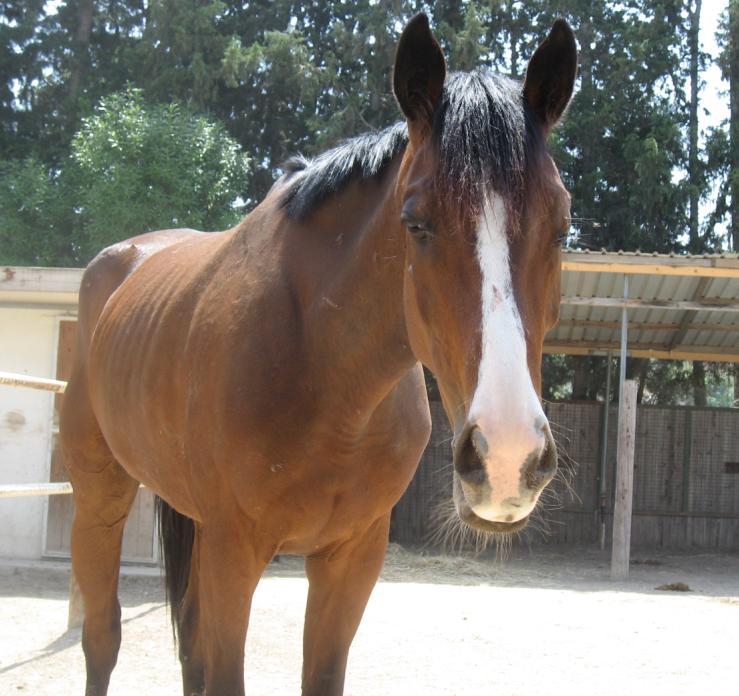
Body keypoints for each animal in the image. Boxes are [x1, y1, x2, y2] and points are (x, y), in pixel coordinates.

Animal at [60, 13, 576, 696]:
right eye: (415, 223)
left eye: (563, 226)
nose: (507, 458)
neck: (325, 376)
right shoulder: (233, 553)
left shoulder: (351, 558)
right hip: (100, 499)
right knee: (102, 637)